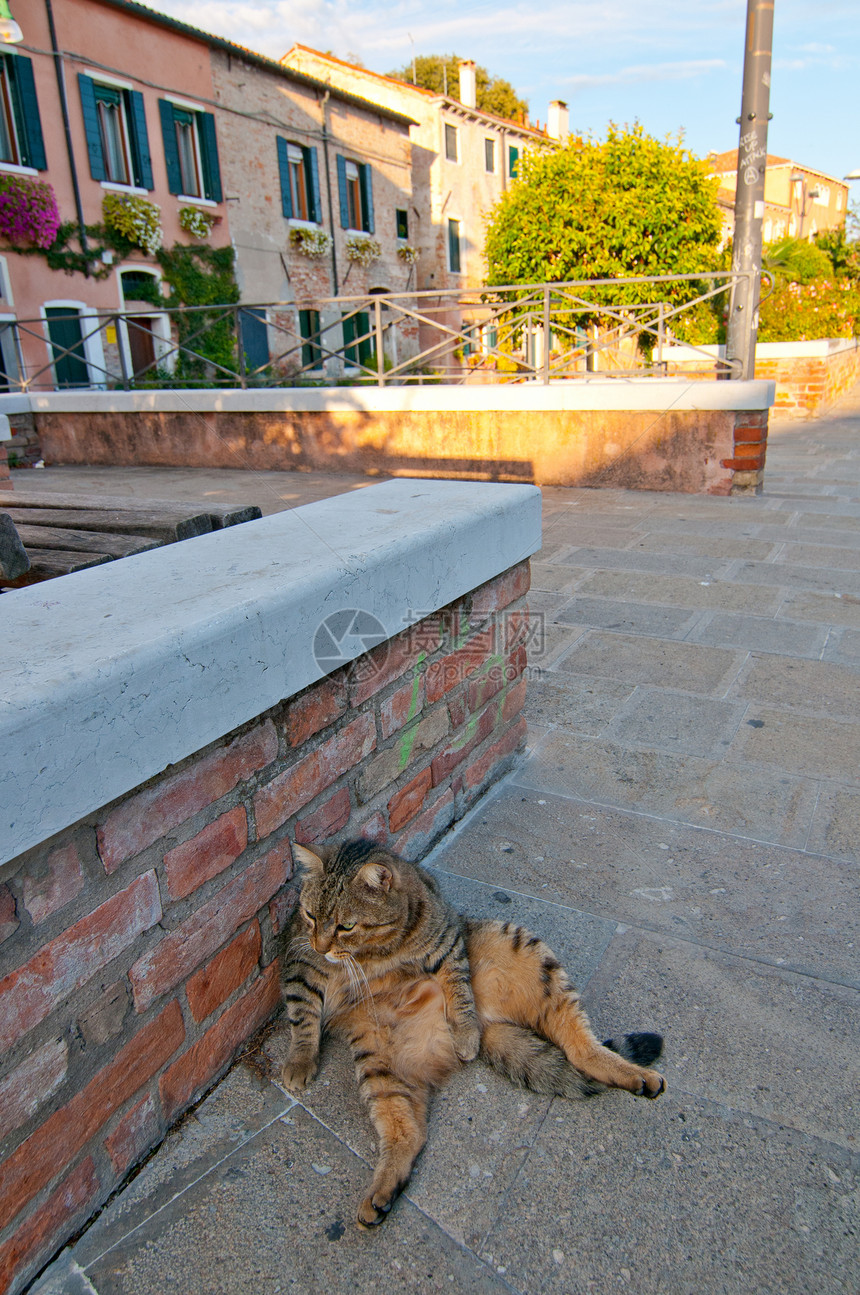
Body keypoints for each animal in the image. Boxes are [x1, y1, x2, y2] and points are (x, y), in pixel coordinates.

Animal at [282, 839, 663, 1222]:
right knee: (407, 1133)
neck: (375, 952)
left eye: (346, 926)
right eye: (310, 916)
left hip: (522, 949)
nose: (319, 945)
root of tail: (490, 1025)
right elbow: (302, 1015)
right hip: (379, 1062)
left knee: (580, 1045)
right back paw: (382, 1191)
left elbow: (458, 986)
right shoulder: (298, 965)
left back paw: (632, 1073)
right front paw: (300, 1059)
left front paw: (464, 1030)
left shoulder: (448, 940)